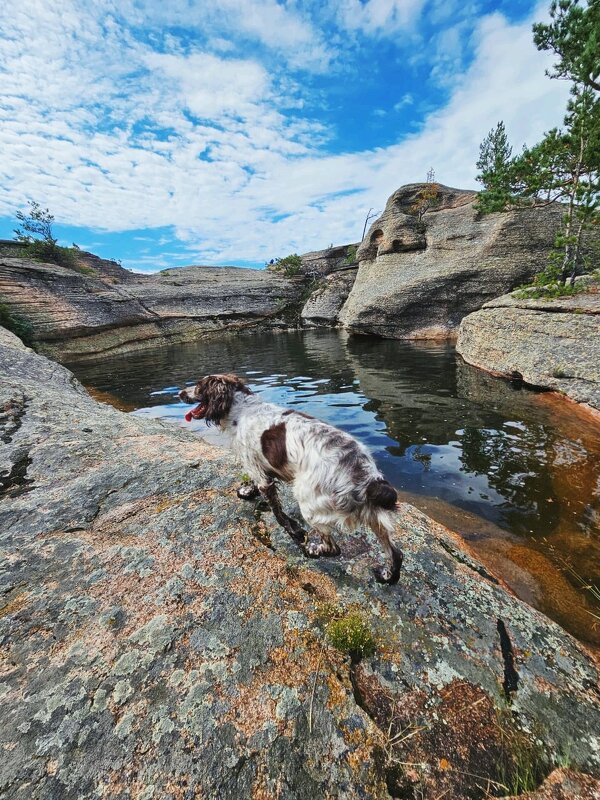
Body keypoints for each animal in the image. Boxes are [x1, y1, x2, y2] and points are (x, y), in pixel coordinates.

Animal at [178, 372, 404, 584]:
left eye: (199, 385)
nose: (180, 393)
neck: (240, 409)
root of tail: (367, 477)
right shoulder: (260, 468)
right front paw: (247, 491)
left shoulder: (260, 474)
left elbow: (279, 514)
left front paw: (295, 532)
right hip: (373, 516)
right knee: (396, 553)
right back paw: (387, 576)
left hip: (309, 503)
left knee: (334, 548)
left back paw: (312, 550)